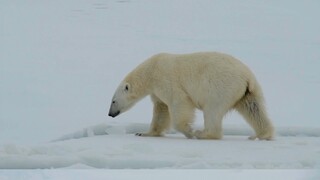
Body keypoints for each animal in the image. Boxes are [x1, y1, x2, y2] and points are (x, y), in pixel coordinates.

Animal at [109, 51, 274, 140]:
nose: (110, 114)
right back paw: (262, 134)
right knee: (254, 109)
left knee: (212, 110)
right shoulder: (157, 91)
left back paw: (203, 133)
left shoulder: (166, 79)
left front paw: (189, 132)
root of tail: (247, 77)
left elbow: (178, 103)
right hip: (248, 91)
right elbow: (161, 109)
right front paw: (143, 133)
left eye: (113, 101)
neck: (151, 70)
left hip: (221, 86)